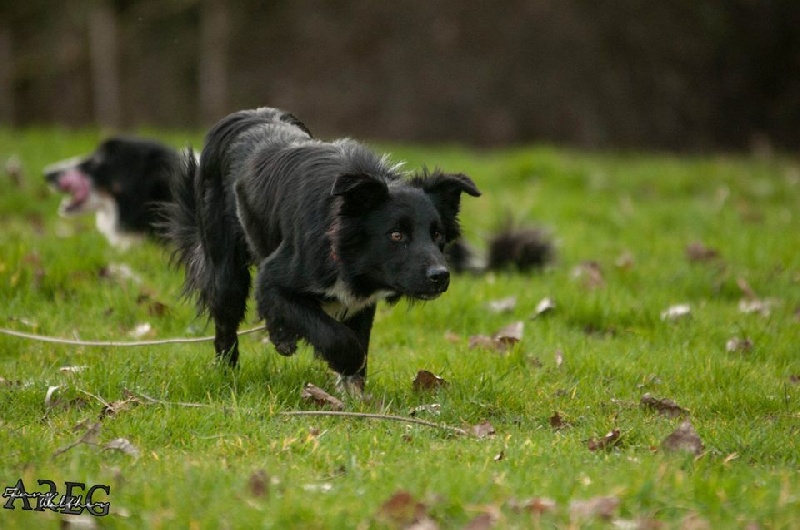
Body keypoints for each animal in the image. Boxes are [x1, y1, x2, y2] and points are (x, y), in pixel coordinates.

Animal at [162, 107, 476, 388]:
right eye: (396, 235)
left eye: (438, 235)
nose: (440, 276)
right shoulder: (275, 275)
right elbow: (334, 335)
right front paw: (344, 362)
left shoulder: (361, 300)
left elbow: (357, 337)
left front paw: (354, 397)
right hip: (225, 263)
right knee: (226, 317)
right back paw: (227, 372)